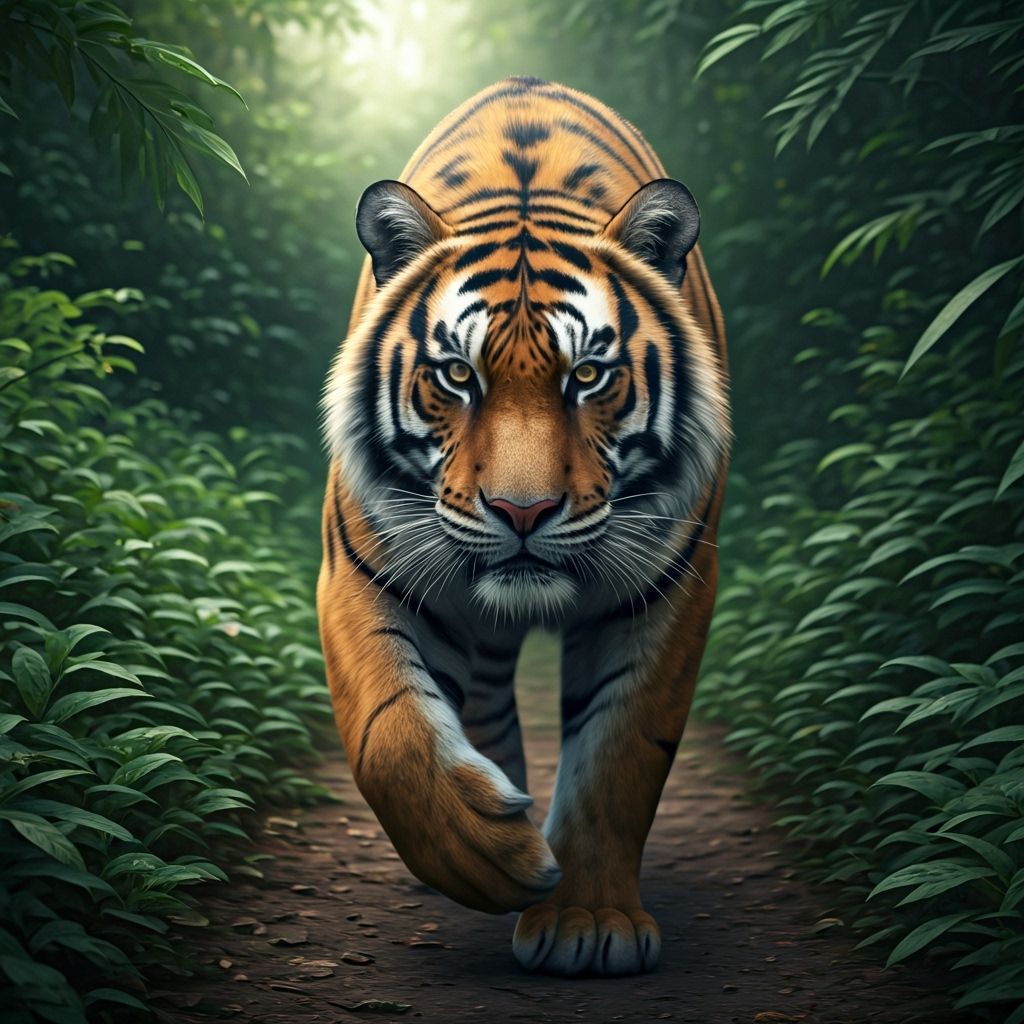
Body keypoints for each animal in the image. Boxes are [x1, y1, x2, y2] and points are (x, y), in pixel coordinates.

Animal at [317, 76, 730, 977]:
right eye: (456, 374)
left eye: (589, 375)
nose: (522, 512)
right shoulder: (364, 570)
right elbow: (389, 733)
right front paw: (486, 853)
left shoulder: (667, 591)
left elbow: (618, 756)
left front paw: (588, 922)